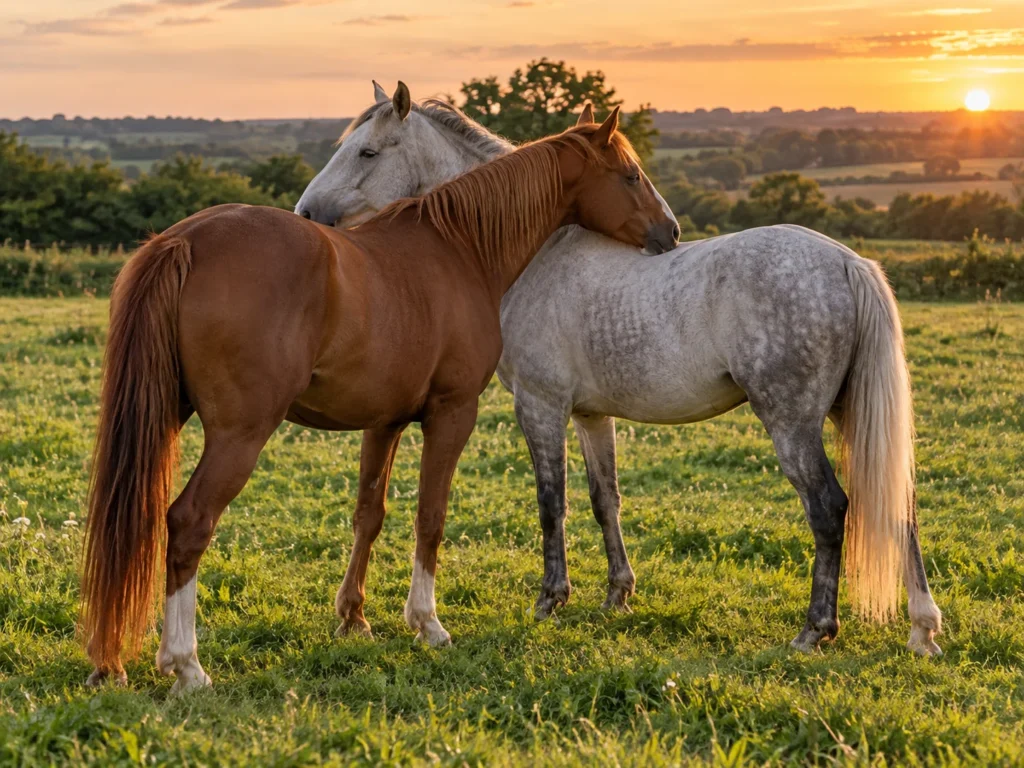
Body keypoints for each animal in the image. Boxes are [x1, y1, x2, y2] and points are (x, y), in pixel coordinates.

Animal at [80, 84, 680, 693]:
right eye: (631, 175)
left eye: (366, 151)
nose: (670, 231)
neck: (458, 247)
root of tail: (185, 239)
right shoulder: (452, 413)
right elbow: (431, 516)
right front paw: (427, 623)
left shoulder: (384, 420)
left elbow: (370, 512)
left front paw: (354, 618)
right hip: (239, 435)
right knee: (188, 523)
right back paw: (186, 665)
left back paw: (113, 662)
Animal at [296, 84, 943, 657]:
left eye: (367, 152)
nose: (306, 213)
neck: (533, 252)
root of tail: (848, 262)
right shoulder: (590, 415)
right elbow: (604, 498)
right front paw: (617, 594)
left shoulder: (541, 406)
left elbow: (551, 501)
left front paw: (550, 599)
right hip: (850, 413)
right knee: (900, 505)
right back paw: (923, 628)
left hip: (792, 423)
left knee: (829, 508)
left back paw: (815, 629)